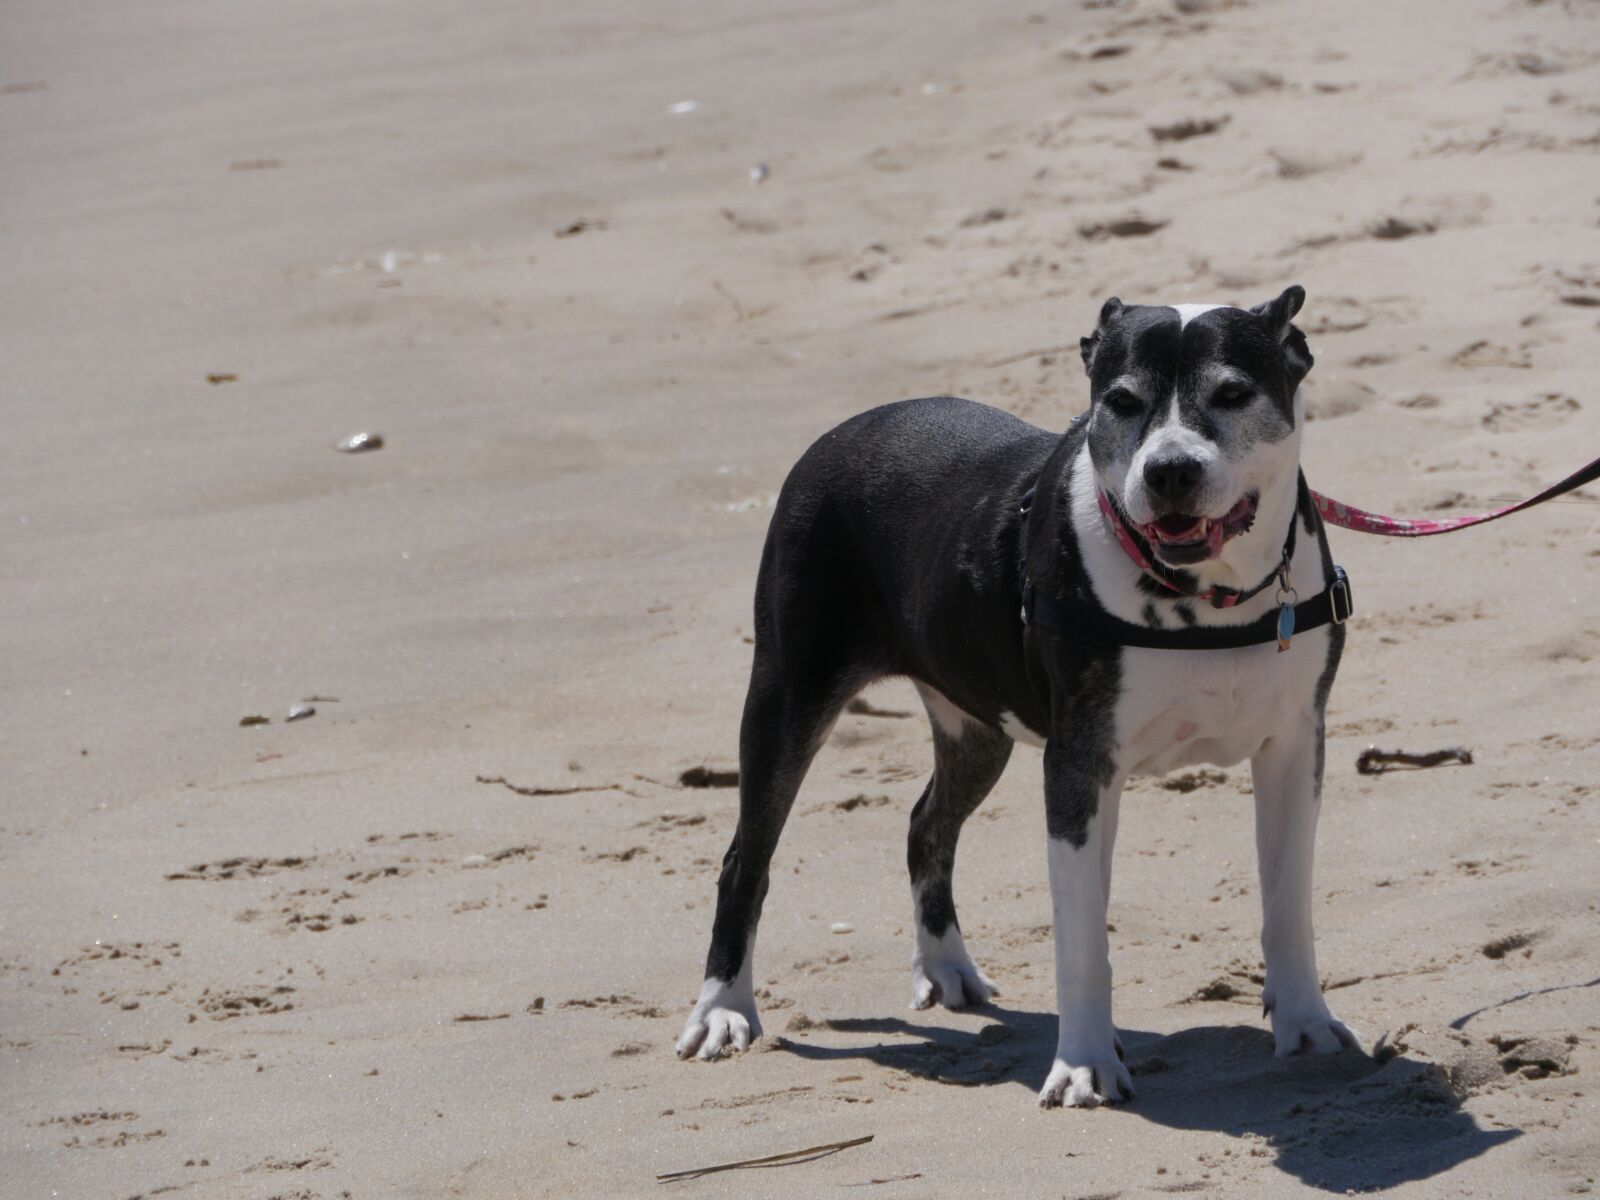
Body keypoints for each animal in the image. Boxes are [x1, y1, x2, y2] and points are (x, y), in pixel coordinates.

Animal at [675, 289, 1363, 1107]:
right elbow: (1081, 937)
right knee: (745, 857)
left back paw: (947, 968)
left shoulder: (1293, 745)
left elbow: (1287, 902)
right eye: (1121, 402)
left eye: (1232, 393)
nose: (1169, 470)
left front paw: (1306, 1024)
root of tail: (840, 433)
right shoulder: (1079, 763)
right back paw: (722, 1010)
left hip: (977, 728)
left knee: (927, 823)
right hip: (788, 694)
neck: (1209, 597)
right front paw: (1086, 1064)